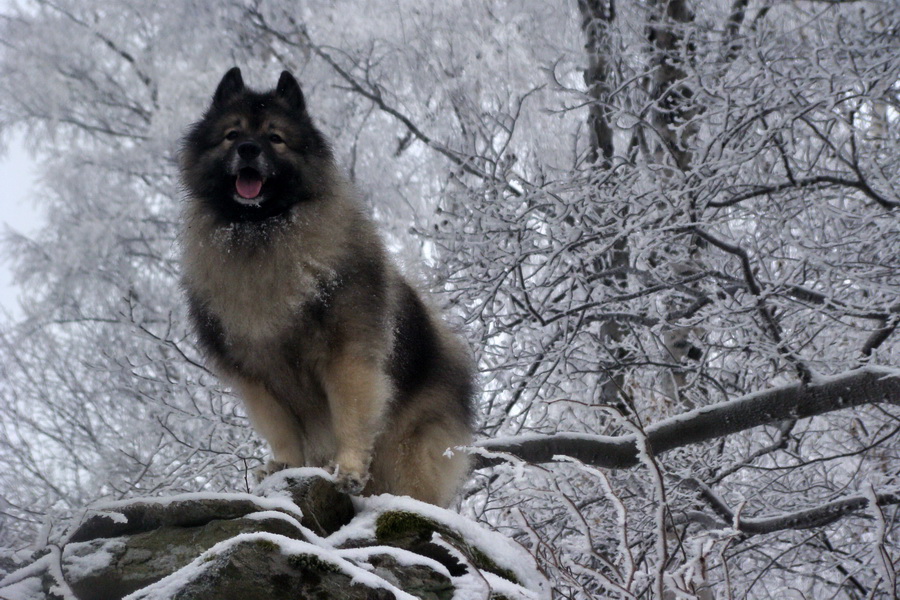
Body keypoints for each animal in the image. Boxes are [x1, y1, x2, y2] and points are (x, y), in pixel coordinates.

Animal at [178, 67, 478, 506]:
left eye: (275, 137)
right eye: (232, 134)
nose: (248, 149)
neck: (261, 231)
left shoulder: (348, 356)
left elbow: (350, 417)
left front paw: (348, 469)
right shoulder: (257, 378)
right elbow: (282, 432)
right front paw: (283, 466)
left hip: (406, 449)